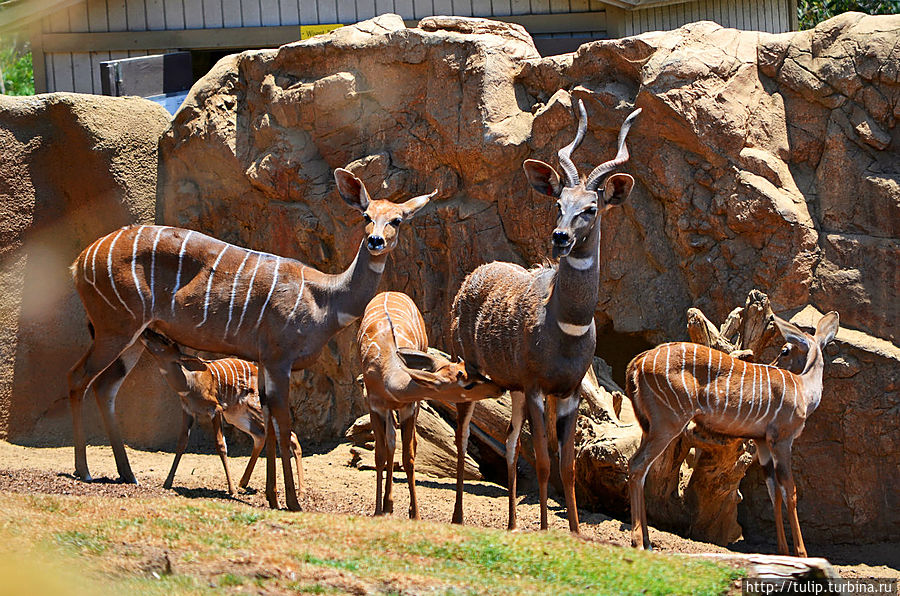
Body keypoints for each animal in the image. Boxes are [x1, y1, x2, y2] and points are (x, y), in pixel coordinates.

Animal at [141, 330, 300, 494]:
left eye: (164, 340)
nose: (145, 332)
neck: (188, 384)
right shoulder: (188, 411)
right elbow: (181, 443)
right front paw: (167, 482)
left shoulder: (215, 409)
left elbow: (221, 445)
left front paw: (231, 489)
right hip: (236, 416)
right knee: (260, 436)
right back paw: (243, 482)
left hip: (256, 408)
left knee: (291, 435)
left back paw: (300, 490)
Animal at [356, 292, 502, 520]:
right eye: (467, 383)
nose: (498, 388)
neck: (388, 375)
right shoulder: (374, 406)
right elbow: (379, 455)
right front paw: (378, 511)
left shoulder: (408, 407)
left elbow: (408, 456)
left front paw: (414, 513)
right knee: (390, 441)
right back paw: (387, 505)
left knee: (400, 443)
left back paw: (391, 504)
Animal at [450, 100, 640, 532]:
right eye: (559, 204)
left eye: (591, 208)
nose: (560, 237)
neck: (566, 326)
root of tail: (470, 280)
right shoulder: (538, 387)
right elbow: (541, 460)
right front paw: (543, 528)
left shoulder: (566, 392)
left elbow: (566, 466)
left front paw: (574, 532)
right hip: (469, 369)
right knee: (464, 434)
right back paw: (457, 517)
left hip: (512, 387)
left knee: (507, 440)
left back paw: (510, 523)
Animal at [628, 310, 840, 556]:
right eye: (785, 349)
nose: (773, 362)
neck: (804, 390)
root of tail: (638, 361)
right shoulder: (782, 440)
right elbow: (790, 490)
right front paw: (801, 553)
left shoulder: (762, 442)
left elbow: (774, 492)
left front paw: (783, 551)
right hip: (667, 423)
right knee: (637, 465)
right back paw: (639, 542)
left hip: (650, 427)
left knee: (639, 467)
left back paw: (648, 542)